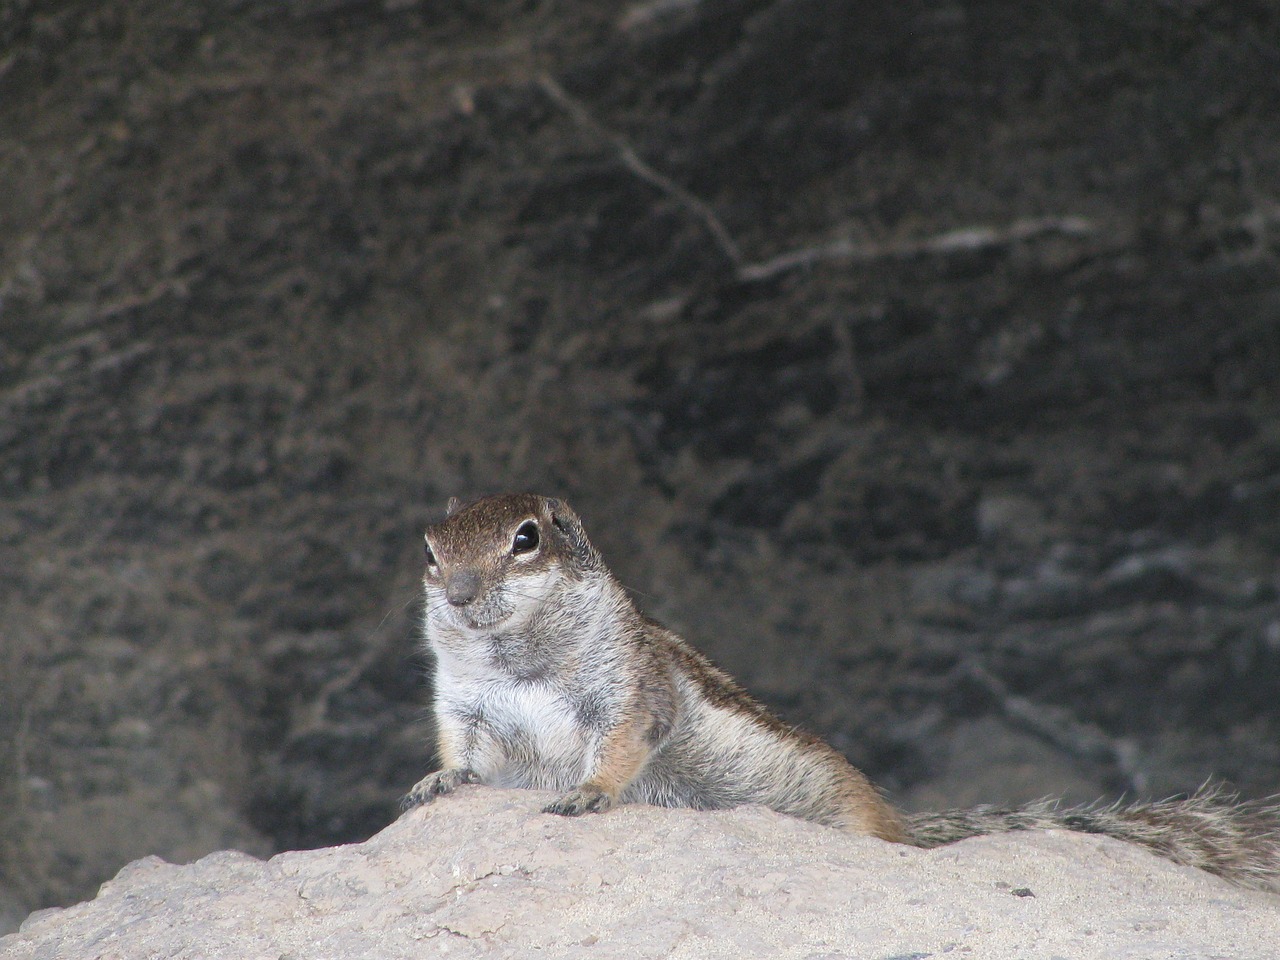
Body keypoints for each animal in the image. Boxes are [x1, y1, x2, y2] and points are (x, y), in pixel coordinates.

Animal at [404, 496, 1280, 896]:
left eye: (526, 539)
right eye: (431, 549)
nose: (460, 592)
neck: (515, 657)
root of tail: (904, 830)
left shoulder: (629, 686)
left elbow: (621, 746)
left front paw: (587, 792)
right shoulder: (464, 705)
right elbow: (463, 750)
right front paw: (437, 781)